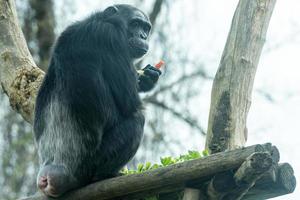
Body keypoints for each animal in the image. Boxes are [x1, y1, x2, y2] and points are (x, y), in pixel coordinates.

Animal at [33, 4, 162, 197]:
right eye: (135, 24)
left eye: (146, 28)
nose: (143, 36)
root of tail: (52, 172)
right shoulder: (110, 37)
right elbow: (130, 103)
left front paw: (148, 77)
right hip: (87, 167)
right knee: (136, 121)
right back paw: (106, 175)